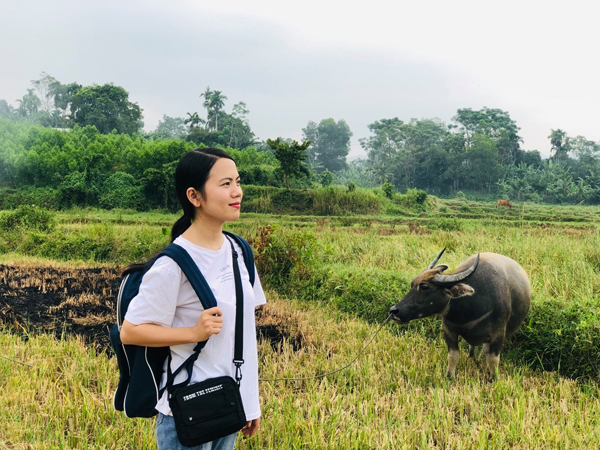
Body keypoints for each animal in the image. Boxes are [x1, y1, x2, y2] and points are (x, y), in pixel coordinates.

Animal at [392, 250, 532, 380]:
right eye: (412, 284)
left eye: (424, 287)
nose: (394, 311)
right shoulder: (448, 330)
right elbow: (453, 356)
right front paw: (450, 376)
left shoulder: (498, 334)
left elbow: (493, 360)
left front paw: (493, 379)